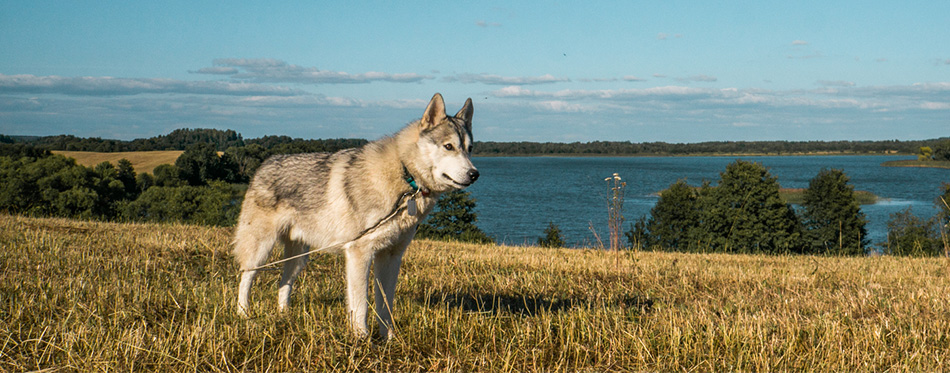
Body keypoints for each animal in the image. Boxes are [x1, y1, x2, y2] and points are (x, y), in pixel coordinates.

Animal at [234, 93, 480, 340]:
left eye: (469, 149)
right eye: (449, 146)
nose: (475, 174)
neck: (405, 176)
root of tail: (265, 163)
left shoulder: (391, 257)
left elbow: (385, 305)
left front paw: (390, 340)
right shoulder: (359, 253)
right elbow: (360, 305)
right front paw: (361, 340)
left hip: (299, 258)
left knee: (283, 283)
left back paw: (284, 316)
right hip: (261, 251)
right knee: (245, 278)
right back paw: (244, 315)